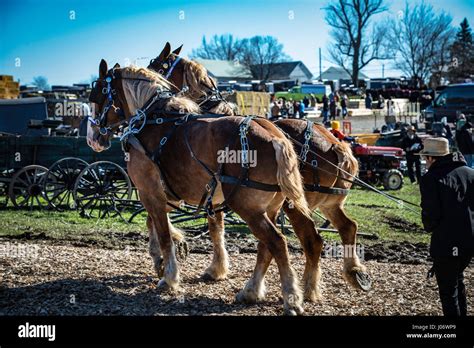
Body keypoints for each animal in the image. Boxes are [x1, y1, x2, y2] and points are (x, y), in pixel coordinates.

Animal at [85, 58, 322, 314]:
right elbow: (168, 226)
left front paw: (169, 276)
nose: (92, 137)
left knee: (277, 243)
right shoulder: (174, 195)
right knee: (267, 246)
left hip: (247, 207)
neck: (153, 120)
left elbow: (163, 232)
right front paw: (170, 257)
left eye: (96, 95)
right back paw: (252, 291)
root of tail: (275, 136)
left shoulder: (150, 192)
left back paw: (291, 297)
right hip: (270, 207)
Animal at [147, 41, 370, 290]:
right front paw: (214, 267)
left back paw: (307, 287)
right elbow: (214, 228)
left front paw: (165, 257)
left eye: (156, 66)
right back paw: (353, 272)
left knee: (309, 240)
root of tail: (335, 144)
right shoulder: (213, 195)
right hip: (328, 203)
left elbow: (159, 218)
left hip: (296, 205)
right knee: (347, 227)